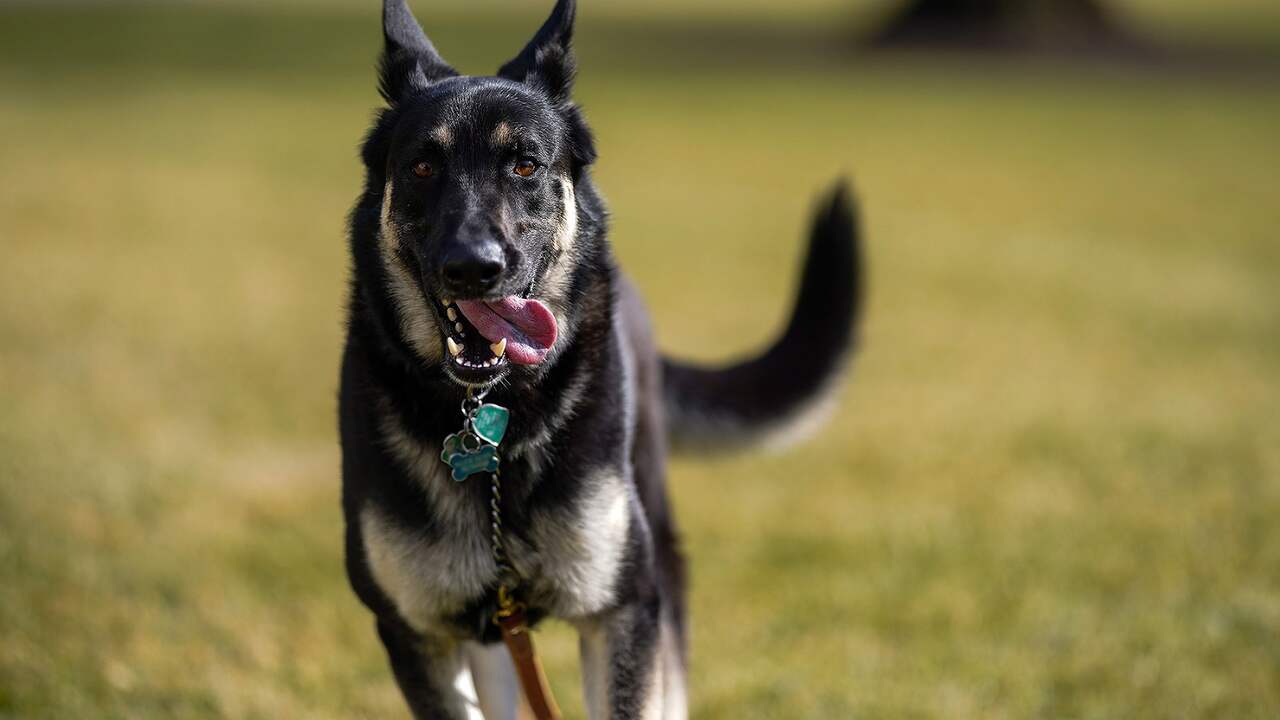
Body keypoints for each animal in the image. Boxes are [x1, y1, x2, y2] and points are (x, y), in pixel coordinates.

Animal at [337, 0, 860, 712]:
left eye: (525, 165)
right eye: (422, 167)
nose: (473, 268)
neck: (495, 422)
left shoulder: (622, 610)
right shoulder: (418, 633)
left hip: (658, 555)